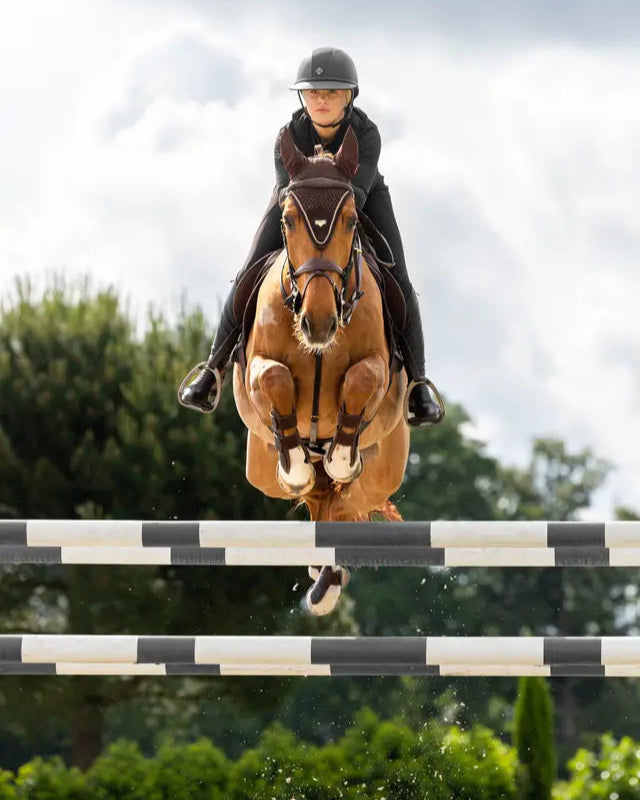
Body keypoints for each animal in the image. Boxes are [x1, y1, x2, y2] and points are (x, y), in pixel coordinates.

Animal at [232, 126, 410, 615]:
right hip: (261, 470)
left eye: (350, 220)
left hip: (384, 470)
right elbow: (272, 378)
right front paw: (295, 461)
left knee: (345, 504)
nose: (319, 323)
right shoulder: (256, 370)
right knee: (316, 497)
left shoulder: (380, 370)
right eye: (288, 219)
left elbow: (362, 378)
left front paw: (341, 455)